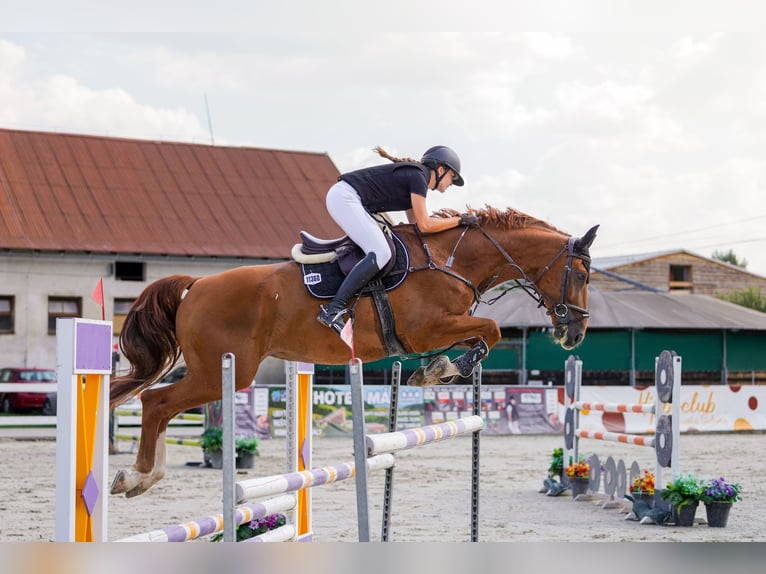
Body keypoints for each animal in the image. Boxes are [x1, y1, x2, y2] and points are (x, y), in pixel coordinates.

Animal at [109, 208, 600, 500]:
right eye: (580, 274)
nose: (575, 333)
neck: (451, 260)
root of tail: (195, 286)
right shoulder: (427, 329)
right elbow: (492, 330)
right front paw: (443, 369)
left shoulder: (443, 327)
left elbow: (484, 335)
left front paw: (437, 370)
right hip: (223, 372)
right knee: (155, 401)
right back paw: (137, 475)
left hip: (214, 372)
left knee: (159, 404)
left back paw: (145, 476)